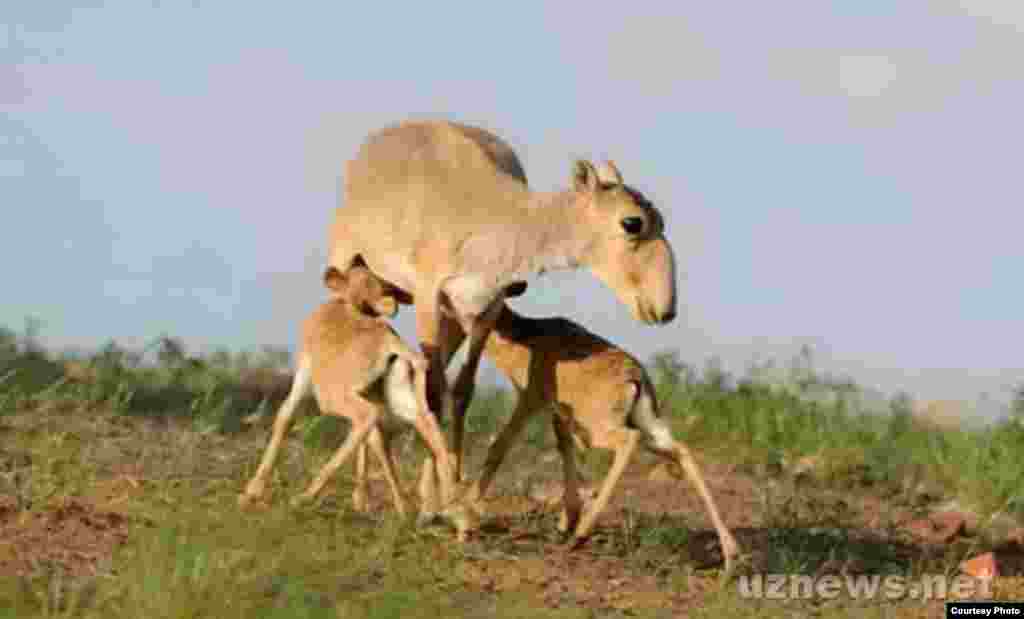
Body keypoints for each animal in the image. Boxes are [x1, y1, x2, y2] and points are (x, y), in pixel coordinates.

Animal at [236, 266, 471, 537]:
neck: (347, 304)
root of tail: (391, 344)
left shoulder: (305, 369)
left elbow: (285, 415)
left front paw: (251, 492)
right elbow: (377, 443)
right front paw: (392, 508)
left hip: (333, 397)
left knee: (364, 417)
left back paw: (304, 497)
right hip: (404, 401)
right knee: (429, 434)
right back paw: (456, 520)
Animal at [329, 118, 679, 485]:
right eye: (632, 222)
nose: (665, 308)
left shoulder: (484, 308)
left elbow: (462, 391)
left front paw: (449, 483)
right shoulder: (428, 296)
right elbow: (432, 394)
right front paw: (444, 490)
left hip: (451, 317)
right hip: (348, 272)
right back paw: (362, 490)